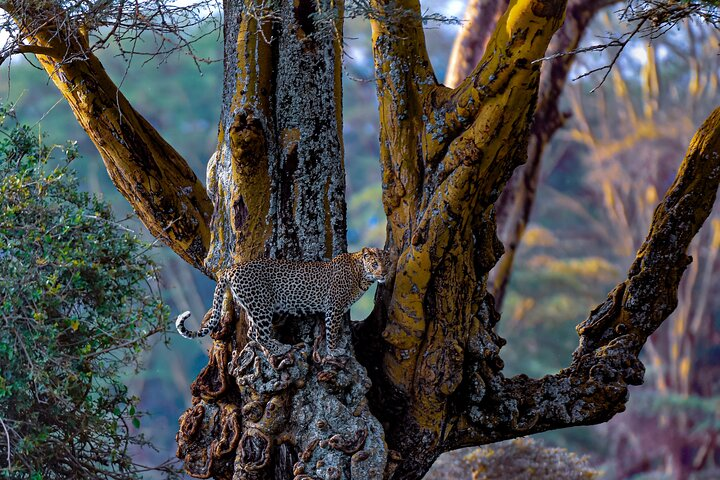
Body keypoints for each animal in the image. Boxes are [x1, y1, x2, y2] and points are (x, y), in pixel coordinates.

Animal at [176, 248, 390, 356]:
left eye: (386, 263)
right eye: (374, 264)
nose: (384, 274)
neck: (361, 275)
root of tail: (232, 268)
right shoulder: (334, 307)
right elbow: (332, 331)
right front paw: (333, 350)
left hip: (252, 306)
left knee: (252, 332)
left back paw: (270, 347)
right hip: (261, 305)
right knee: (259, 333)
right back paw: (280, 348)